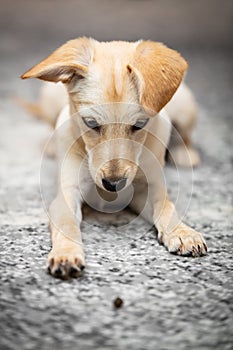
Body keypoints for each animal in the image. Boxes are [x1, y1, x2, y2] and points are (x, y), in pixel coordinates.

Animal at [21, 37, 208, 278]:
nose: (113, 184)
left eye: (140, 124)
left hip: (184, 105)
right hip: (49, 97)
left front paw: (182, 232)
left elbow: (167, 207)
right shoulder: (66, 195)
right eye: (90, 123)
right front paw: (66, 253)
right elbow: (67, 224)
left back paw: (185, 154)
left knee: (184, 135)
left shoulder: (147, 190)